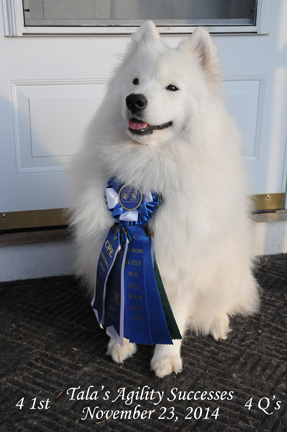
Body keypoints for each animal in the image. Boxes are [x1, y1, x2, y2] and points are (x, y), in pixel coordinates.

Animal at [70, 21, 260, 378]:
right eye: (135, 81)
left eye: (172, 87)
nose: (134, 100)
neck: (147, 167)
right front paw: (122, 341)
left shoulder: (182, 259)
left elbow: (176, 314)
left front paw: (166, 357)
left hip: (228, 266)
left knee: (226, 300)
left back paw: (217, 322)